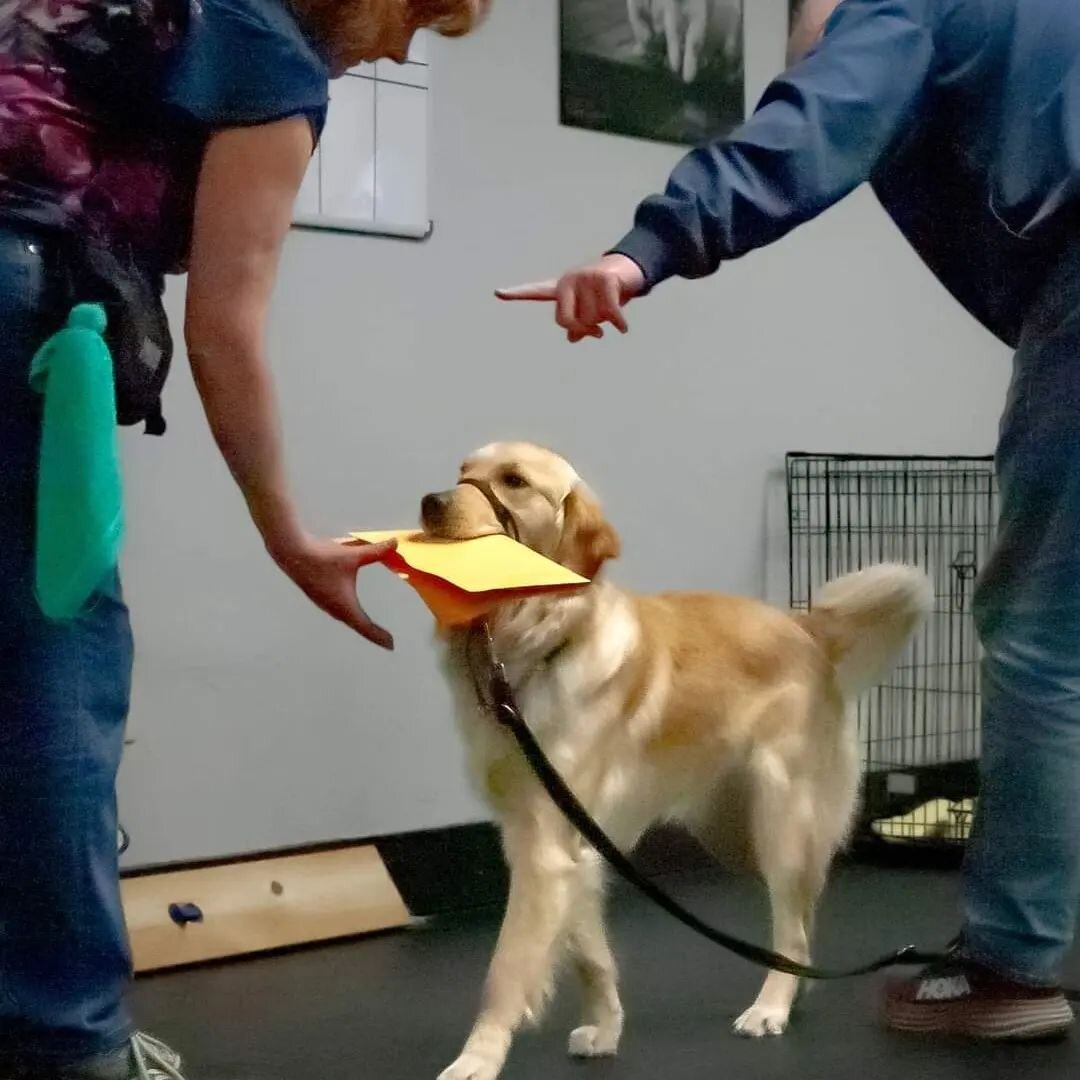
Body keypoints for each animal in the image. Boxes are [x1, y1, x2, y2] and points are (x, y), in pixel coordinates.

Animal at [423, 440, 937, 1080]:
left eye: (513, 481)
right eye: (462, 472)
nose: (429, 504)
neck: (537, 642)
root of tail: (803, 626)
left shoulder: (546, 848)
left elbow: (506, 969)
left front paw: (479, 1057)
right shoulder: (565, 845)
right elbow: (591, 955)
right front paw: (607, 1030)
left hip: (780, 821)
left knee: (791, 925)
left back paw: (771, 1006)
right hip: (734, 836)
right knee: (800, 919)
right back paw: (795, 990)